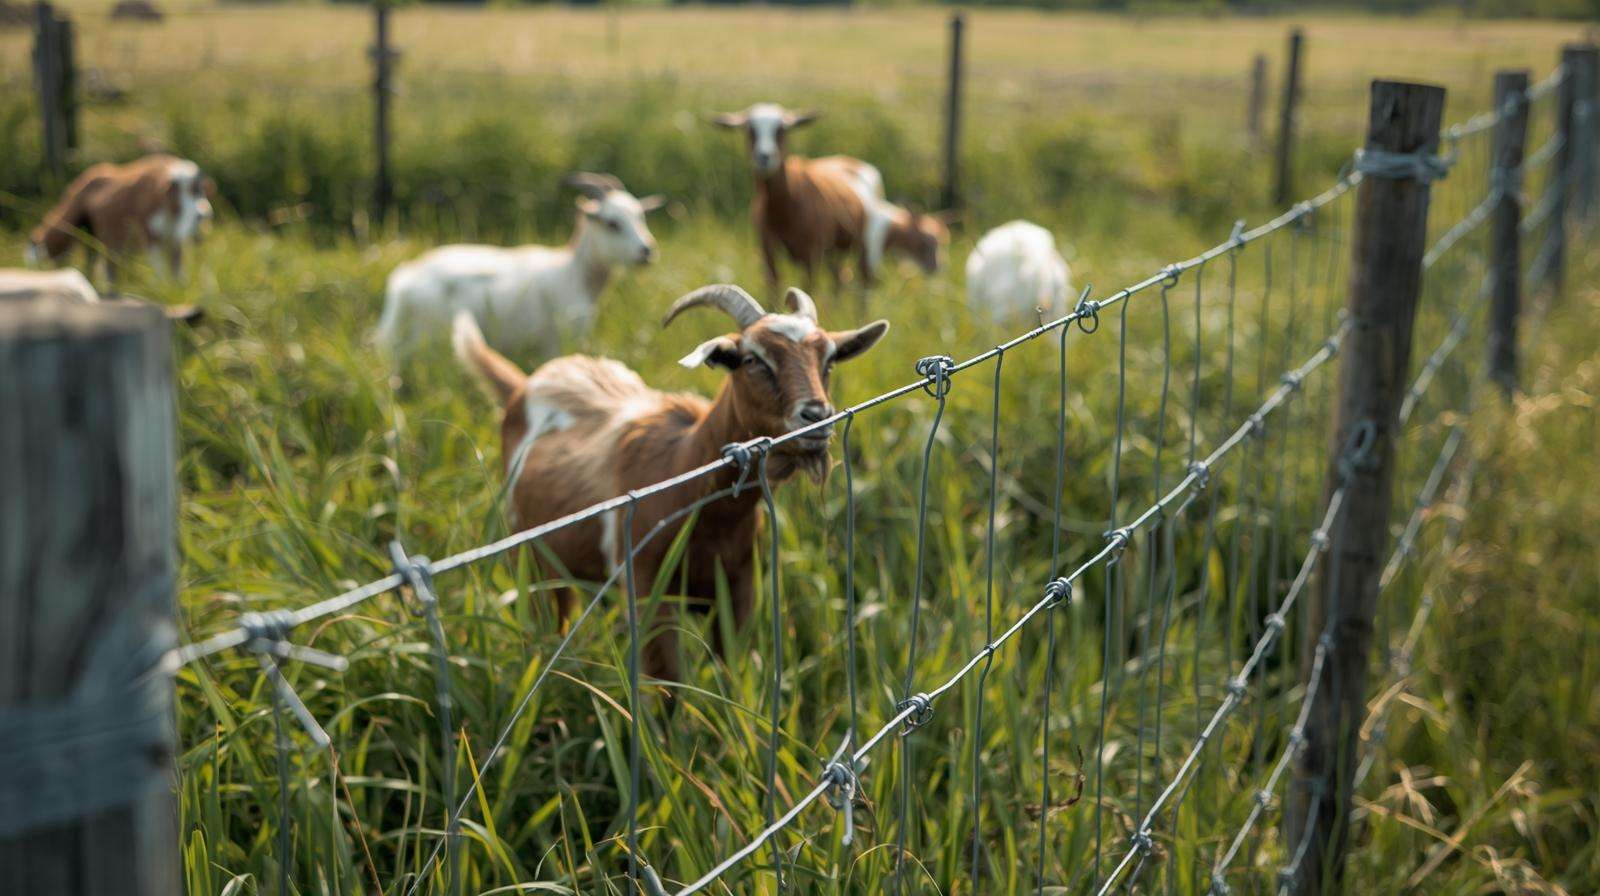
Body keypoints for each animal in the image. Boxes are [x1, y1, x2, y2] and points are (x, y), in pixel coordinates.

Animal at [375, 172, 662, 357]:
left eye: (640, 216)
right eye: (612, 223)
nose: (647, 251)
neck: (572, 273)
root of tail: (404, 283)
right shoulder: (555, 343)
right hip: (428, 337)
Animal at [453, 283, 889, 682]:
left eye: (828, 360)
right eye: (752, 359)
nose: (815, 416)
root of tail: (526, 383)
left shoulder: (739, 589)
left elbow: (731, 676)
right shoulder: (649, 590)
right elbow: (668, 689)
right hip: (530, 555)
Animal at [711, 103, 949, 292]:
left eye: (782, 129)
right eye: (749, 129)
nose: (764, 157)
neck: (784, 209)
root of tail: (852, 162)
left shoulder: (813, 254)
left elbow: (810, 290)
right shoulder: (768, 252)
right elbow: (774, 291)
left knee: (854, 286)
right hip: (835, 253)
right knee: (840, 282)